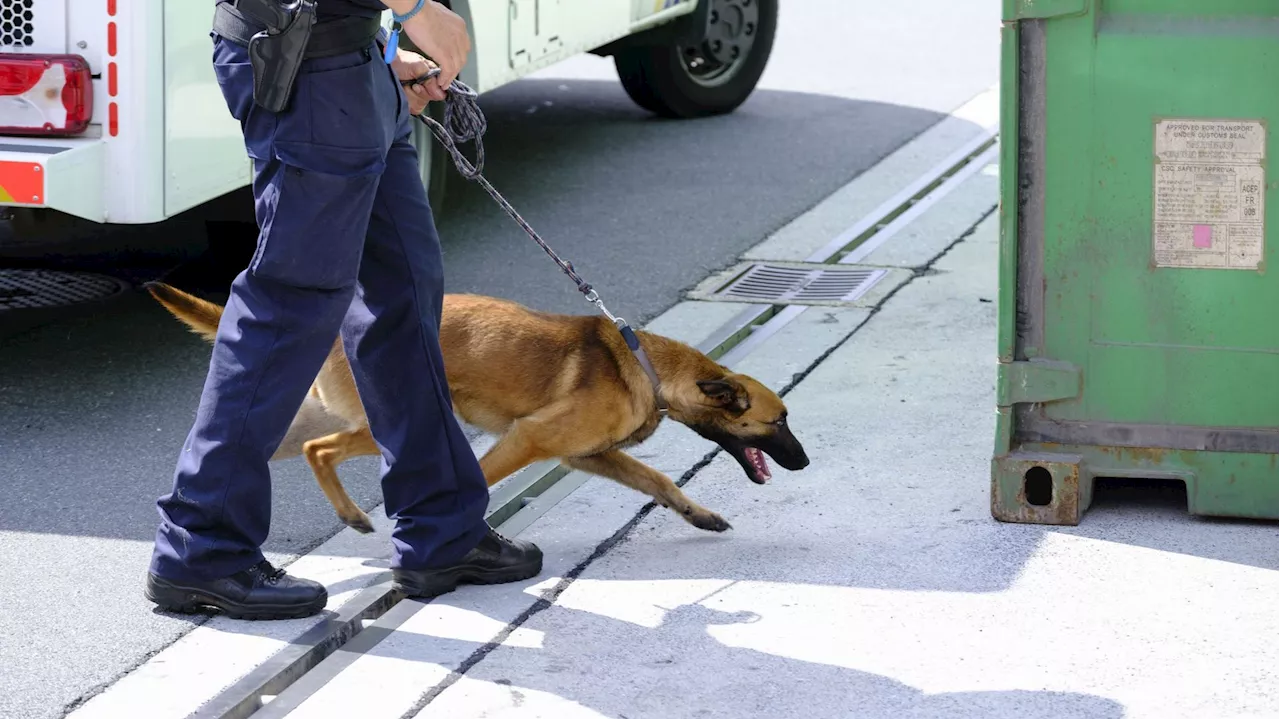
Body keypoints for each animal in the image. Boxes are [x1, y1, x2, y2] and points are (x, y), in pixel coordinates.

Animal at [145, 280, 808, 532]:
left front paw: (699, 515)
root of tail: (342, 325)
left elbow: (658, 480)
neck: (648, 366)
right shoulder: (526, 441)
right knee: (318, 450)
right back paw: (354, 516)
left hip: (312, 419)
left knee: (249, 447)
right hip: (381, 423)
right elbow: (477, 486)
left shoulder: (589, 457)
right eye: (777, 422)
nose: (804, 463)